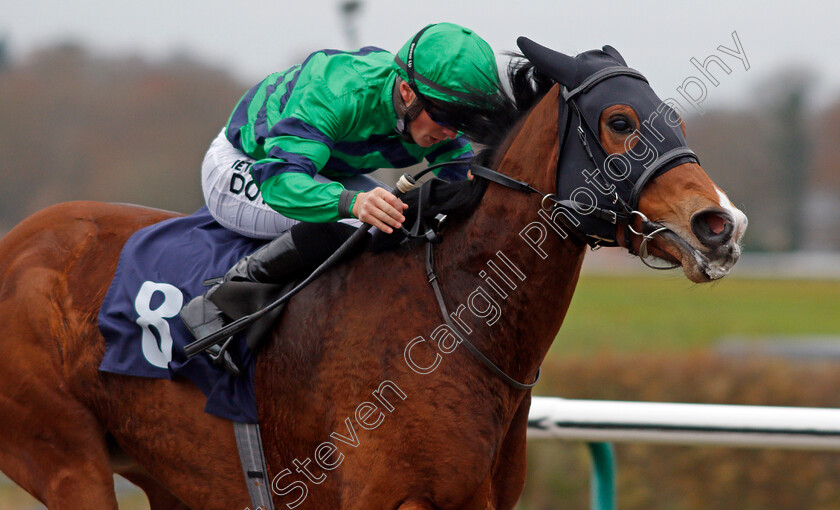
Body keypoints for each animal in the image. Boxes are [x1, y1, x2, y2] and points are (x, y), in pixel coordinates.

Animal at [0, 37, 748, 508]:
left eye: (676, 118)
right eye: (619, 121)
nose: (721, 224)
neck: (451, 319)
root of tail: (18, 244)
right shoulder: (391, 497)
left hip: (169, 476)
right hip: (64, 459)